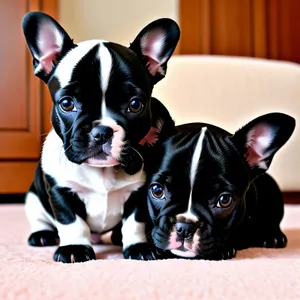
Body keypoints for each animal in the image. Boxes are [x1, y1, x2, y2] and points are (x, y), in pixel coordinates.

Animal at [22, 11, 179, 262]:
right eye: (67, 103)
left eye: (135, 105)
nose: (101, 131)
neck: (101, 172)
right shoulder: (60, 191)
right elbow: (72, 221)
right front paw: (75, 248)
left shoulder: (139, 193)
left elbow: (135, 222)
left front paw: (138, 246)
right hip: (33, 198)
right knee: (39, 218)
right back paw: (42, 235)